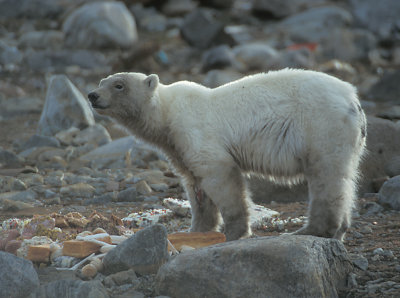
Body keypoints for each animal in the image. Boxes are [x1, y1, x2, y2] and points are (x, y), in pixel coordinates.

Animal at [89, 68, 368, 241]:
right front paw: (195, 231)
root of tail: (353, 100)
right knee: (344, 178)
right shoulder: (178, 148)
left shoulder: (196, 133)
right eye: (102, 82)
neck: (167, 113)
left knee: (326, 176)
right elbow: (196, 187)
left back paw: (309, 230)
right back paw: (338, 230)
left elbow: (220, 177)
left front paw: (234, 233)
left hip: (321, 127)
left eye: (119, 85)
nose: (92, 95)